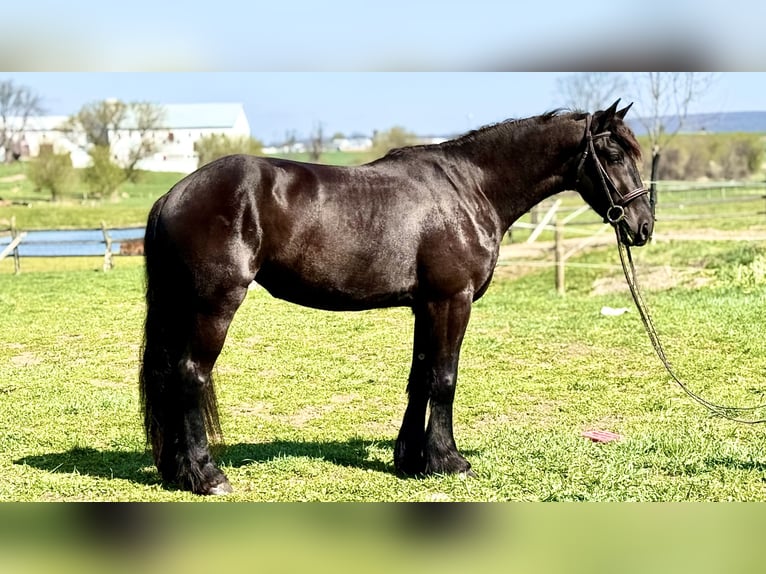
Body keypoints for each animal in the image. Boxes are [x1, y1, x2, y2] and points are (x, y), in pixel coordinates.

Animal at [140, 100, 653, 495]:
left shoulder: (426, 305)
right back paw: (207, 476)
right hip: (214, 305)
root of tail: (172, 195)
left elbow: (420, 378)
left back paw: (176, 470)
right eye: (612, 152)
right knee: (190, 376)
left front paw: (410, 459)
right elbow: (444, 379)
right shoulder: (452, 300)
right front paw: (450, 461)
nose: (643, 226)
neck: (471, 187)